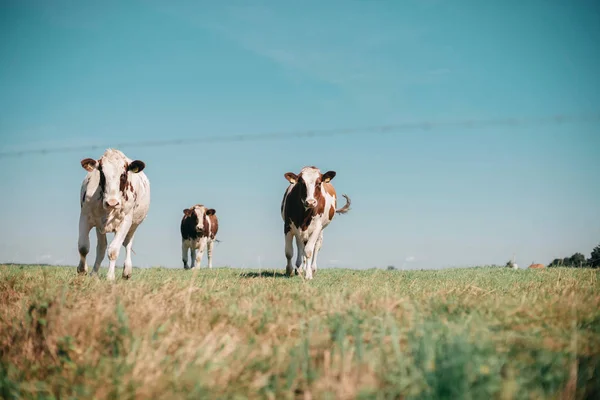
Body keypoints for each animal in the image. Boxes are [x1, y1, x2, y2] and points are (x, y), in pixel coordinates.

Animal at [77, 148, 151, 282]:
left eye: (123, 175)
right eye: (102, 174)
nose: (112, 202)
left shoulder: (125, 222)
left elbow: (113, 250)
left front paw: (110, 277)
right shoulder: (85, 217)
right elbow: (83, 247)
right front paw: (82, 270)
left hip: (134, 225)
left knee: (127, 244)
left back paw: (127, 271)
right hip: (100, 227)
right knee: (101, 248)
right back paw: (94, 273)